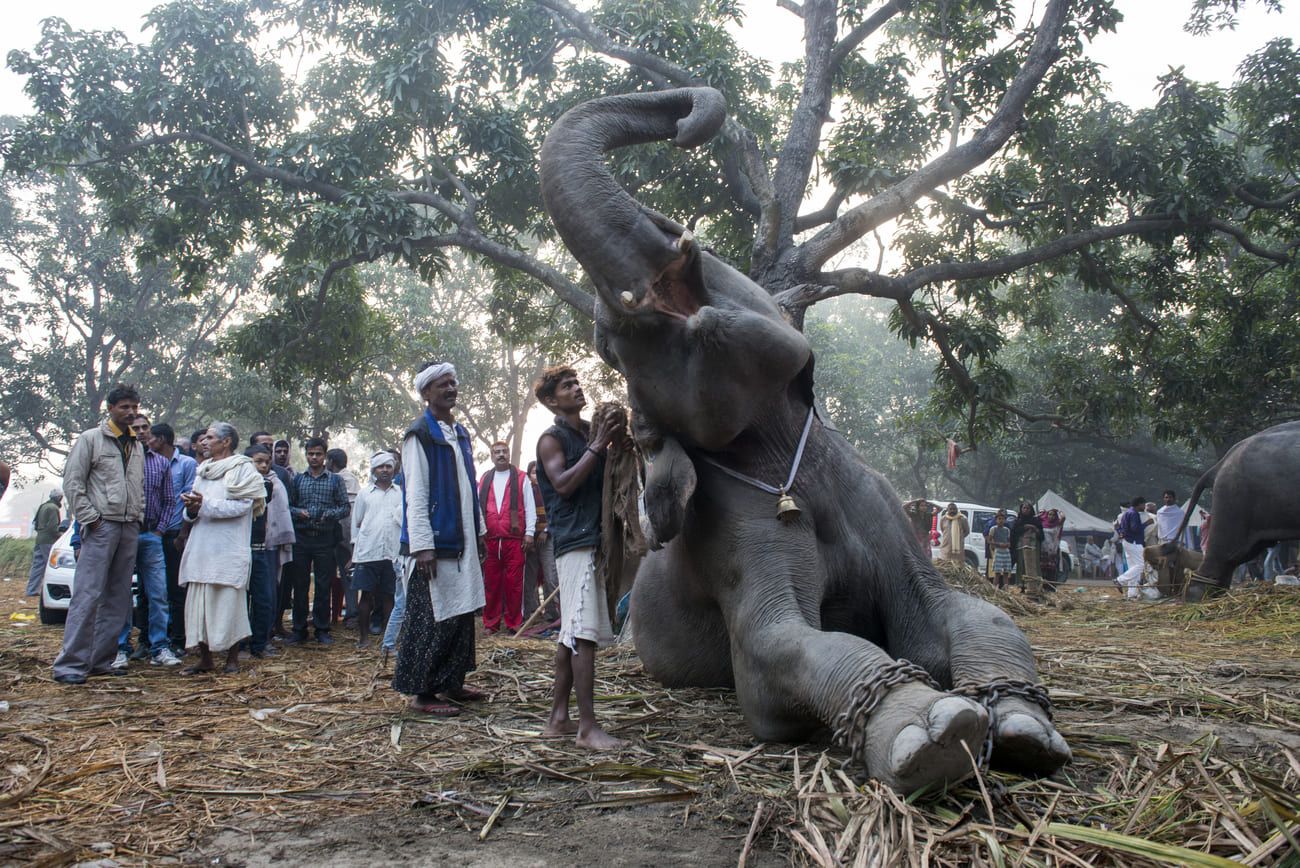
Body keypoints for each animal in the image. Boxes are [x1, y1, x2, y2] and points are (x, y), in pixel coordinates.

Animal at [535, 88, 1066, 795]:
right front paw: (931, 736)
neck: (783, 450)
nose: (688, 122)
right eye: (607, 348)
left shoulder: (877, 499)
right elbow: (774, 649)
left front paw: (1023, 729)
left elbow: (965, 612)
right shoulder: (729, 528)